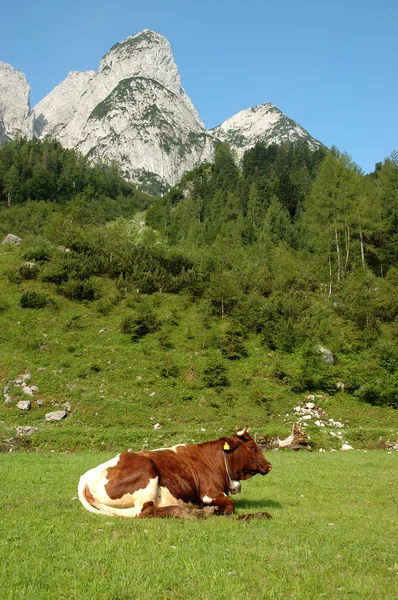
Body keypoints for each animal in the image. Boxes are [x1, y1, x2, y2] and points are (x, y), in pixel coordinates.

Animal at [77, 428, 270, 516]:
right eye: (252, 447)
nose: (269, 465)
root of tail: (86, 475)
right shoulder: (210, 493)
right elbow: (230, 505)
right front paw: (213, 510)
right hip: (147, 470)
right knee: (147, 512)